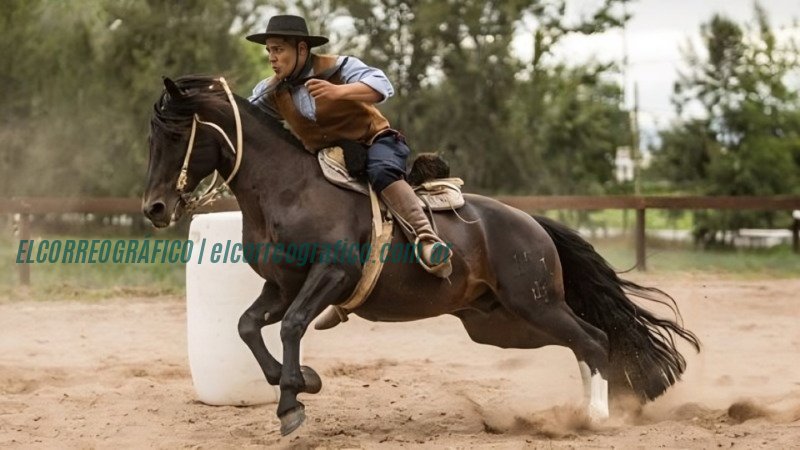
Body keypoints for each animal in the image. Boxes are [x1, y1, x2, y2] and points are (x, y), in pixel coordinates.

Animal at [143, 75, 700, 436]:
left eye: (174, 133)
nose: (155, 207)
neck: (288, 189)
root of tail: (531, 224)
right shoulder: (280, 285)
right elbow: (247, 326)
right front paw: (299, 382)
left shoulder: (330, 274)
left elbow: (292, 326)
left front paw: (291, 403)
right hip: (504, 323)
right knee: (590, 341)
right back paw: (603, 405)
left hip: (534, 304)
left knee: (594, 339)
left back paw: (597, 418)